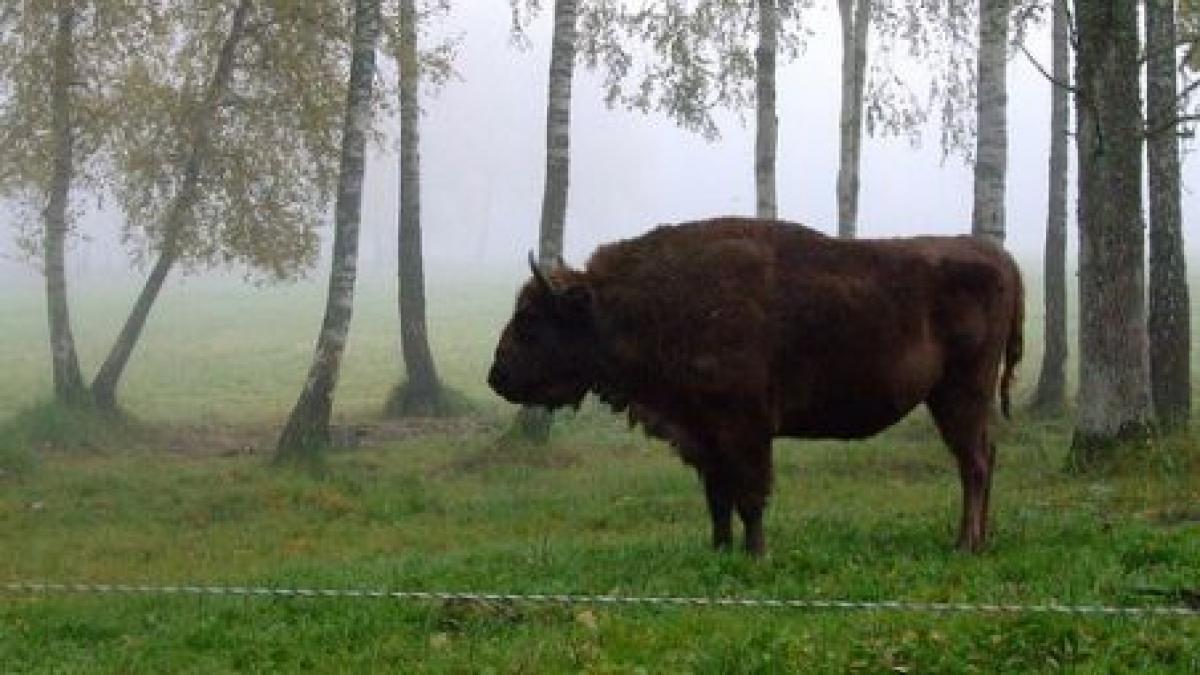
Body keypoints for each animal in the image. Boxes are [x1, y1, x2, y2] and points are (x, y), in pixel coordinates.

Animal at [484, 218, 1022, 554]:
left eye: (531, 318)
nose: (496, 375)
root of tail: (995, 255)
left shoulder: (744, 429)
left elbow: (749, 495)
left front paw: (757, 554)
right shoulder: (703, 436)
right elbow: (718, 499)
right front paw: (720, 550)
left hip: (961, 393)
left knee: (974, 463)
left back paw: (965, 544)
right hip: (952, 399)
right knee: (985, 458)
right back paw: (979, 539)